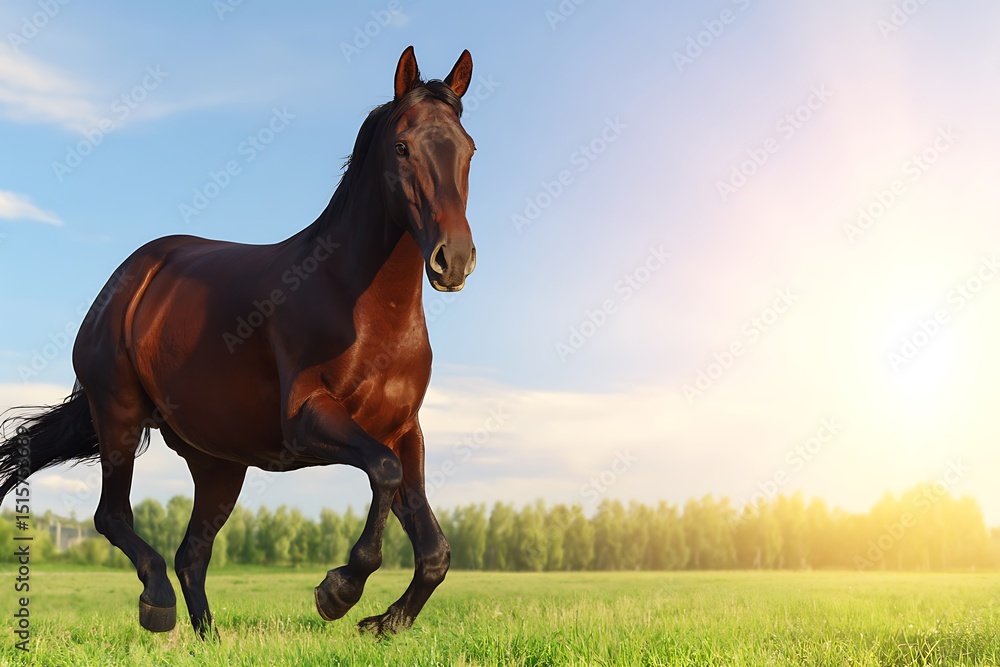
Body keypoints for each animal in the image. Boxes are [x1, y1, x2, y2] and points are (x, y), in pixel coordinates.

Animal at [0, 46, 477, 639]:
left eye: (468, 149)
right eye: (402, 147)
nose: (453, 260)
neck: (361, 308)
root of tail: (130, 277)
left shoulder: (403, 429)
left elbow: (434, 549)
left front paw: (384, 622)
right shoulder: (309, 420)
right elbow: (383, 475)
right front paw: (338, 591)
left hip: (218, 463)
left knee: (192, 554)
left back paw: (209, 639)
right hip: (119, 414)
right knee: (114, 517)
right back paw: (157, 603)